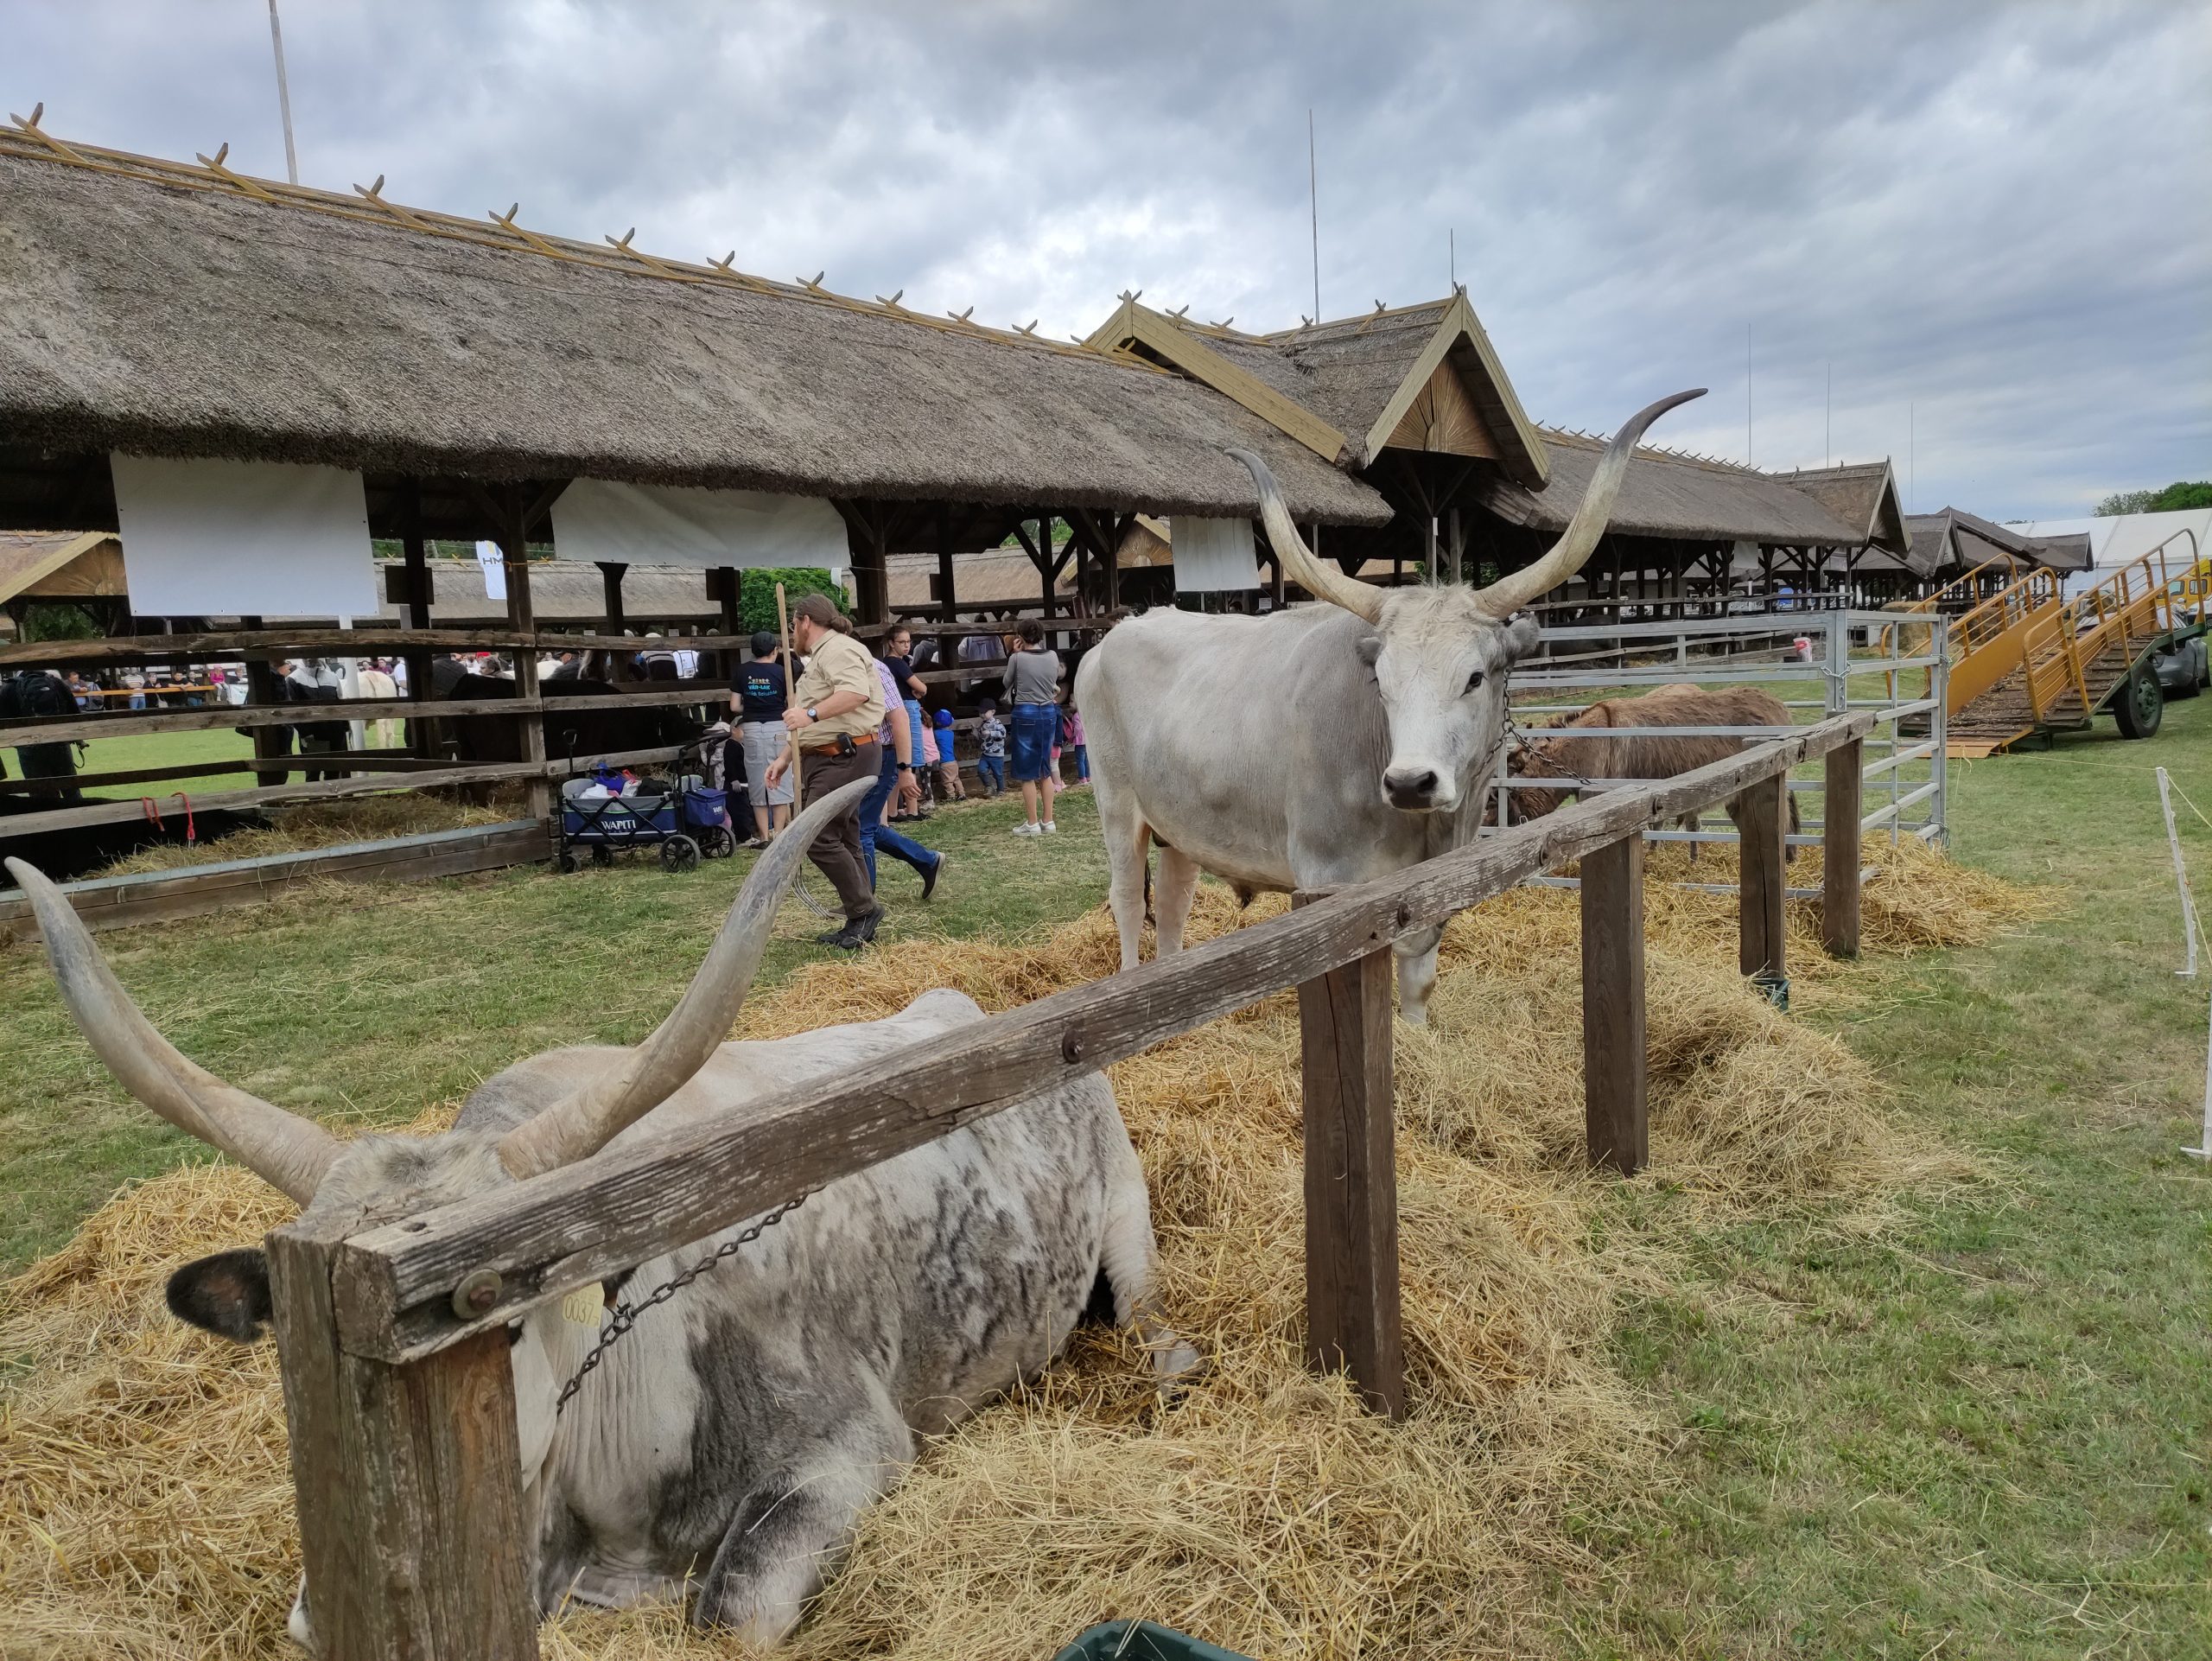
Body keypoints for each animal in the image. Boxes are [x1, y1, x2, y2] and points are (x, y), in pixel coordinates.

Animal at [1079, 386, 1699, 1026]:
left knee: (1174, 897)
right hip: (1117, 805)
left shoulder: (1430, 890)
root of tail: (1116, 635)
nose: (1409, 783)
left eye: (1475, 677)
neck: (1427, 829)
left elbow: (1419, 978)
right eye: (1380, 682)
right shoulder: (1326, 881)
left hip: (1177, 823)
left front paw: (1418, 1034)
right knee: (1129, 900)